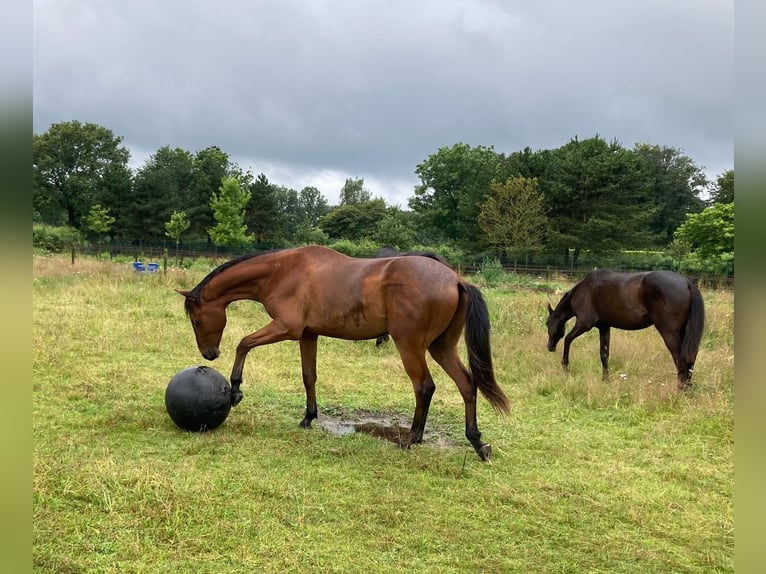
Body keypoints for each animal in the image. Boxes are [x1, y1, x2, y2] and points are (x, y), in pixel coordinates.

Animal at [179, 245, 510, 462]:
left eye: (196, 320)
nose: (209, 354)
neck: (282, 271)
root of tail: (456, 279)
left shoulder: (286, 328)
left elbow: (243, 344)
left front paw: (235, 390)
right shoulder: (308, 335)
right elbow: (308, 376)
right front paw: (308, 418)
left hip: (410, 346)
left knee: (424, 387)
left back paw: (411, 439)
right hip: (441, 347)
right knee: (467, 385)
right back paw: (477, 442)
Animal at [544, 272, 708, 390]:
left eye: (547, 323)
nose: (549, 347)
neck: (584, 290)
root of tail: (687, 283)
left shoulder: (584, 324)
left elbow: (567, 339)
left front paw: (565, 366)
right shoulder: (604, 327)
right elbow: (604, 354)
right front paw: (606, 380)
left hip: (669, 333)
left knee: (681, 361)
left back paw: (680, 390)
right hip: (683, 333)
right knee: (690, 360)